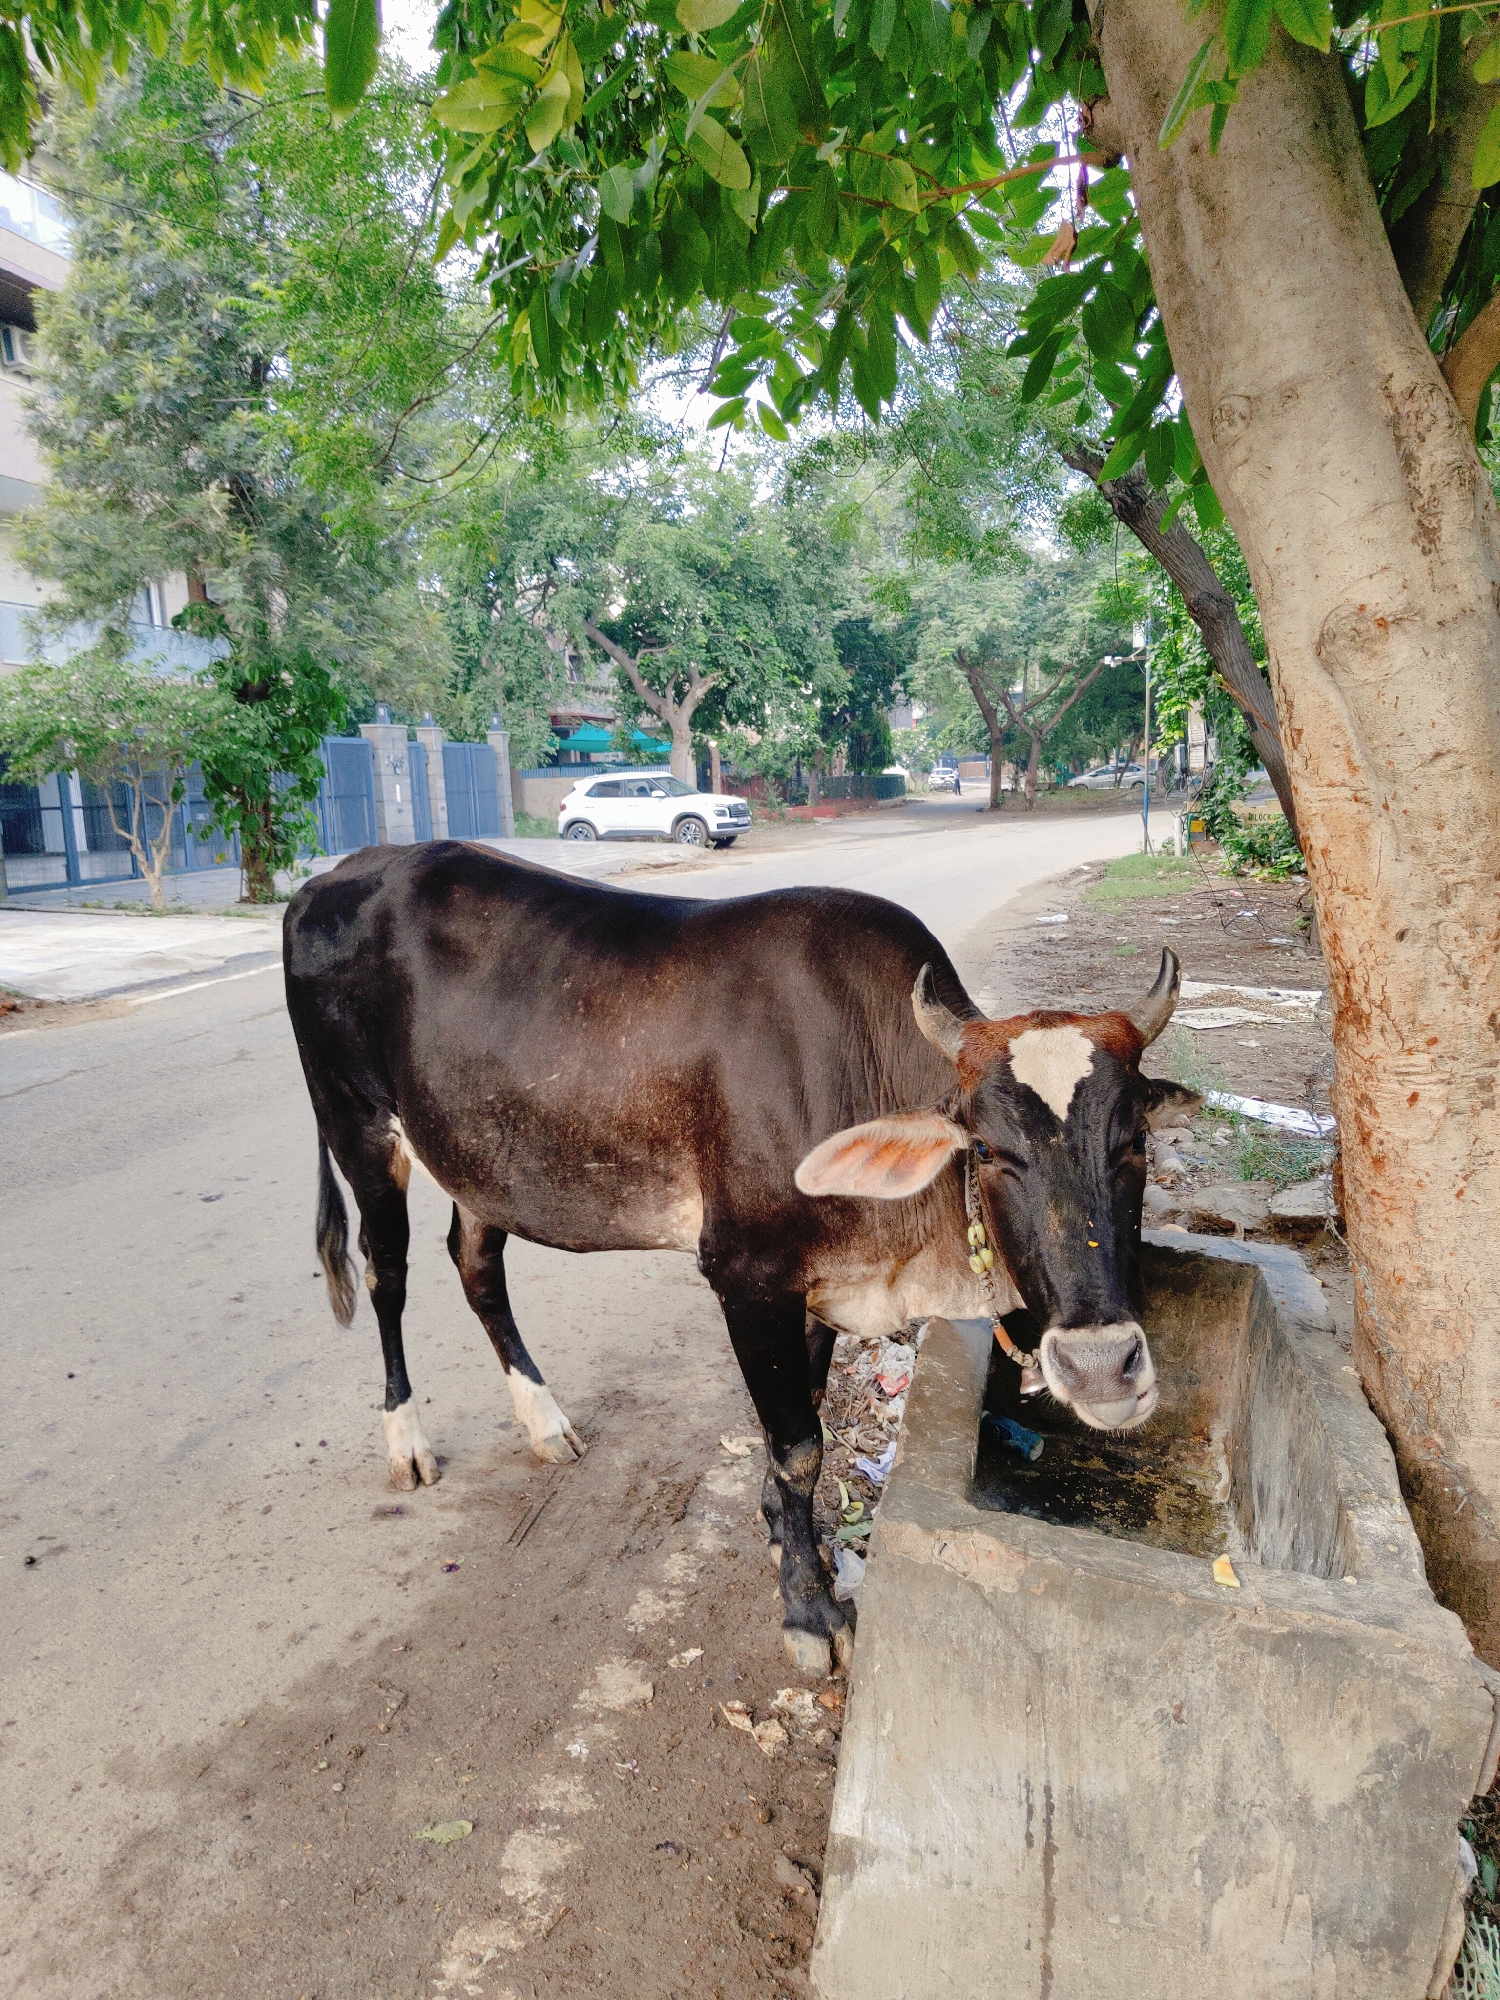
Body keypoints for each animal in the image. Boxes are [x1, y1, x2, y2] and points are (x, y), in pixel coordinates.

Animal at [283, 842, 1197, 1676]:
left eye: (1133, 1144)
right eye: (989, 1151)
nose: (1103, 1366)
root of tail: (325, 879)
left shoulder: (817, 1286)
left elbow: (801, 1422)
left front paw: (780, 1532)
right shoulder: (746, 1274)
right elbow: (798, 1446)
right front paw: (810, 1610)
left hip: (478, 1157)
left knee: (476, 1265)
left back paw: (543, 1420)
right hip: (359, 1129)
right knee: (387, 1275)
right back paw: (405, 1438)